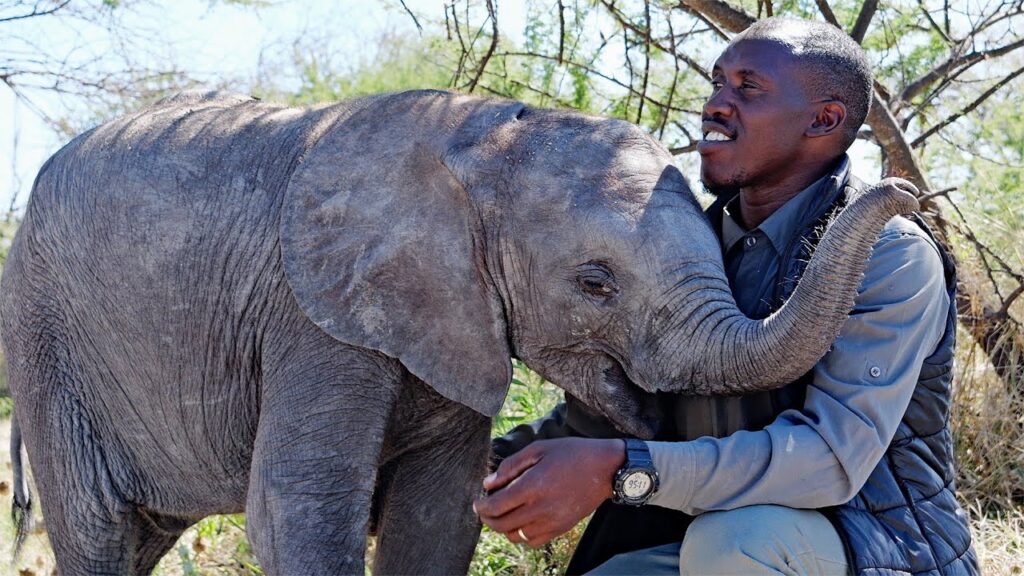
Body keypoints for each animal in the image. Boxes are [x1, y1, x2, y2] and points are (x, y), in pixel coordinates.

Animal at [0, 89, 917, 575]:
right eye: (595, 283)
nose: (904, 193)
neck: (477, 142)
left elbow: (437, 517)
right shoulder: (310, 313)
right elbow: (297, 510)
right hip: (43, 337)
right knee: (99, 530)